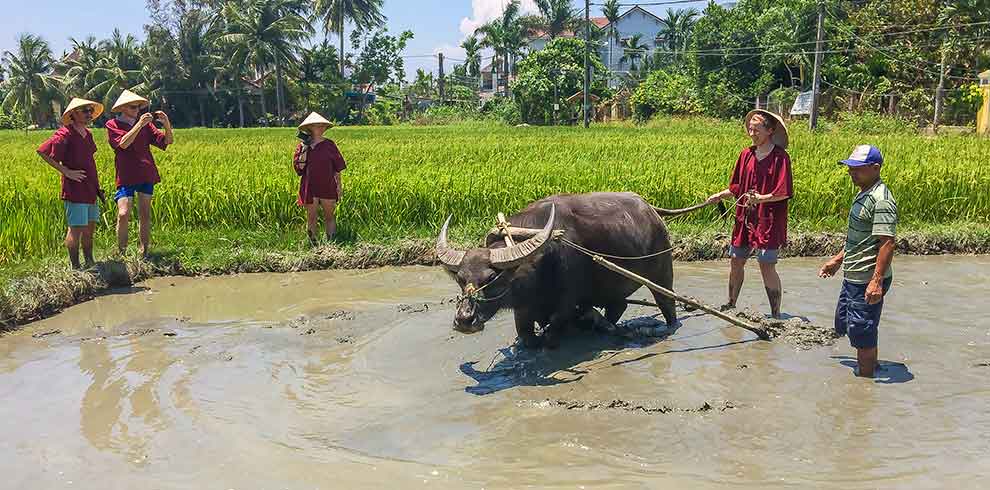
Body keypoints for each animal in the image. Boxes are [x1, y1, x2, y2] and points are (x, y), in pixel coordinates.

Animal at [436, 189, 704, 346]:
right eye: (460, 279)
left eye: (492, 277)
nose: (464, 320)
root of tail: (651, 209)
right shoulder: (523, 309)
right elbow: (525, 336)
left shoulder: (566, 303)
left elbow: (552, 333)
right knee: (618, 305)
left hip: (662, 273)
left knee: (667, 304)